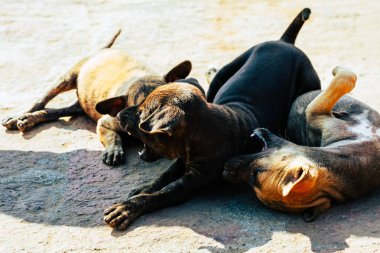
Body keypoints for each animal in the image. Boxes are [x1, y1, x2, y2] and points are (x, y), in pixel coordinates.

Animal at [1, 29, 194, 165]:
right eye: (140, 112)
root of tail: (104, 49)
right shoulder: (104, 124)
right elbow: (113, 137)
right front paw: (114, 151)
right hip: (66, 78)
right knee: (41, 100)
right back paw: (20, 116)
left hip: (79, 104)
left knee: (53, 112)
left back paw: (28, 119)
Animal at [99, 8, 320, 229]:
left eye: (142, 112)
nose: (118, 115)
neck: (205, 130)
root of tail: (285, 42)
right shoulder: (181, 161)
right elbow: (163, 176)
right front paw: (144, 188)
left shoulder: (194, 180)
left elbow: (163, 193)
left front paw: (127, 208)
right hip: (227, 70)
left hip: (308, 82)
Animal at [223, 66, 380, 221]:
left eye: (255, 174)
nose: (226, 170)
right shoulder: (314, 112)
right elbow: (346, 77)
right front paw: (337, 70)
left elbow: (346, 78)